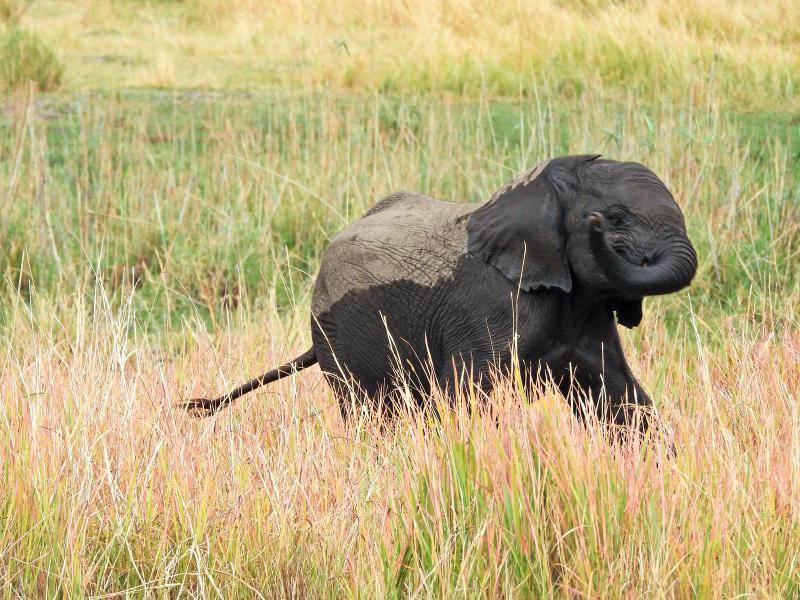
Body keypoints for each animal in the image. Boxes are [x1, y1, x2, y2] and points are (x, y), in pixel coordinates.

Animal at [185, 154, 697, 433]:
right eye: (616, 219)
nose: (595, 225)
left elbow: (622, 400)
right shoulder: (489, 314)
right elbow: (466, 403)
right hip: (339, 338)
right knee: (370, 415)